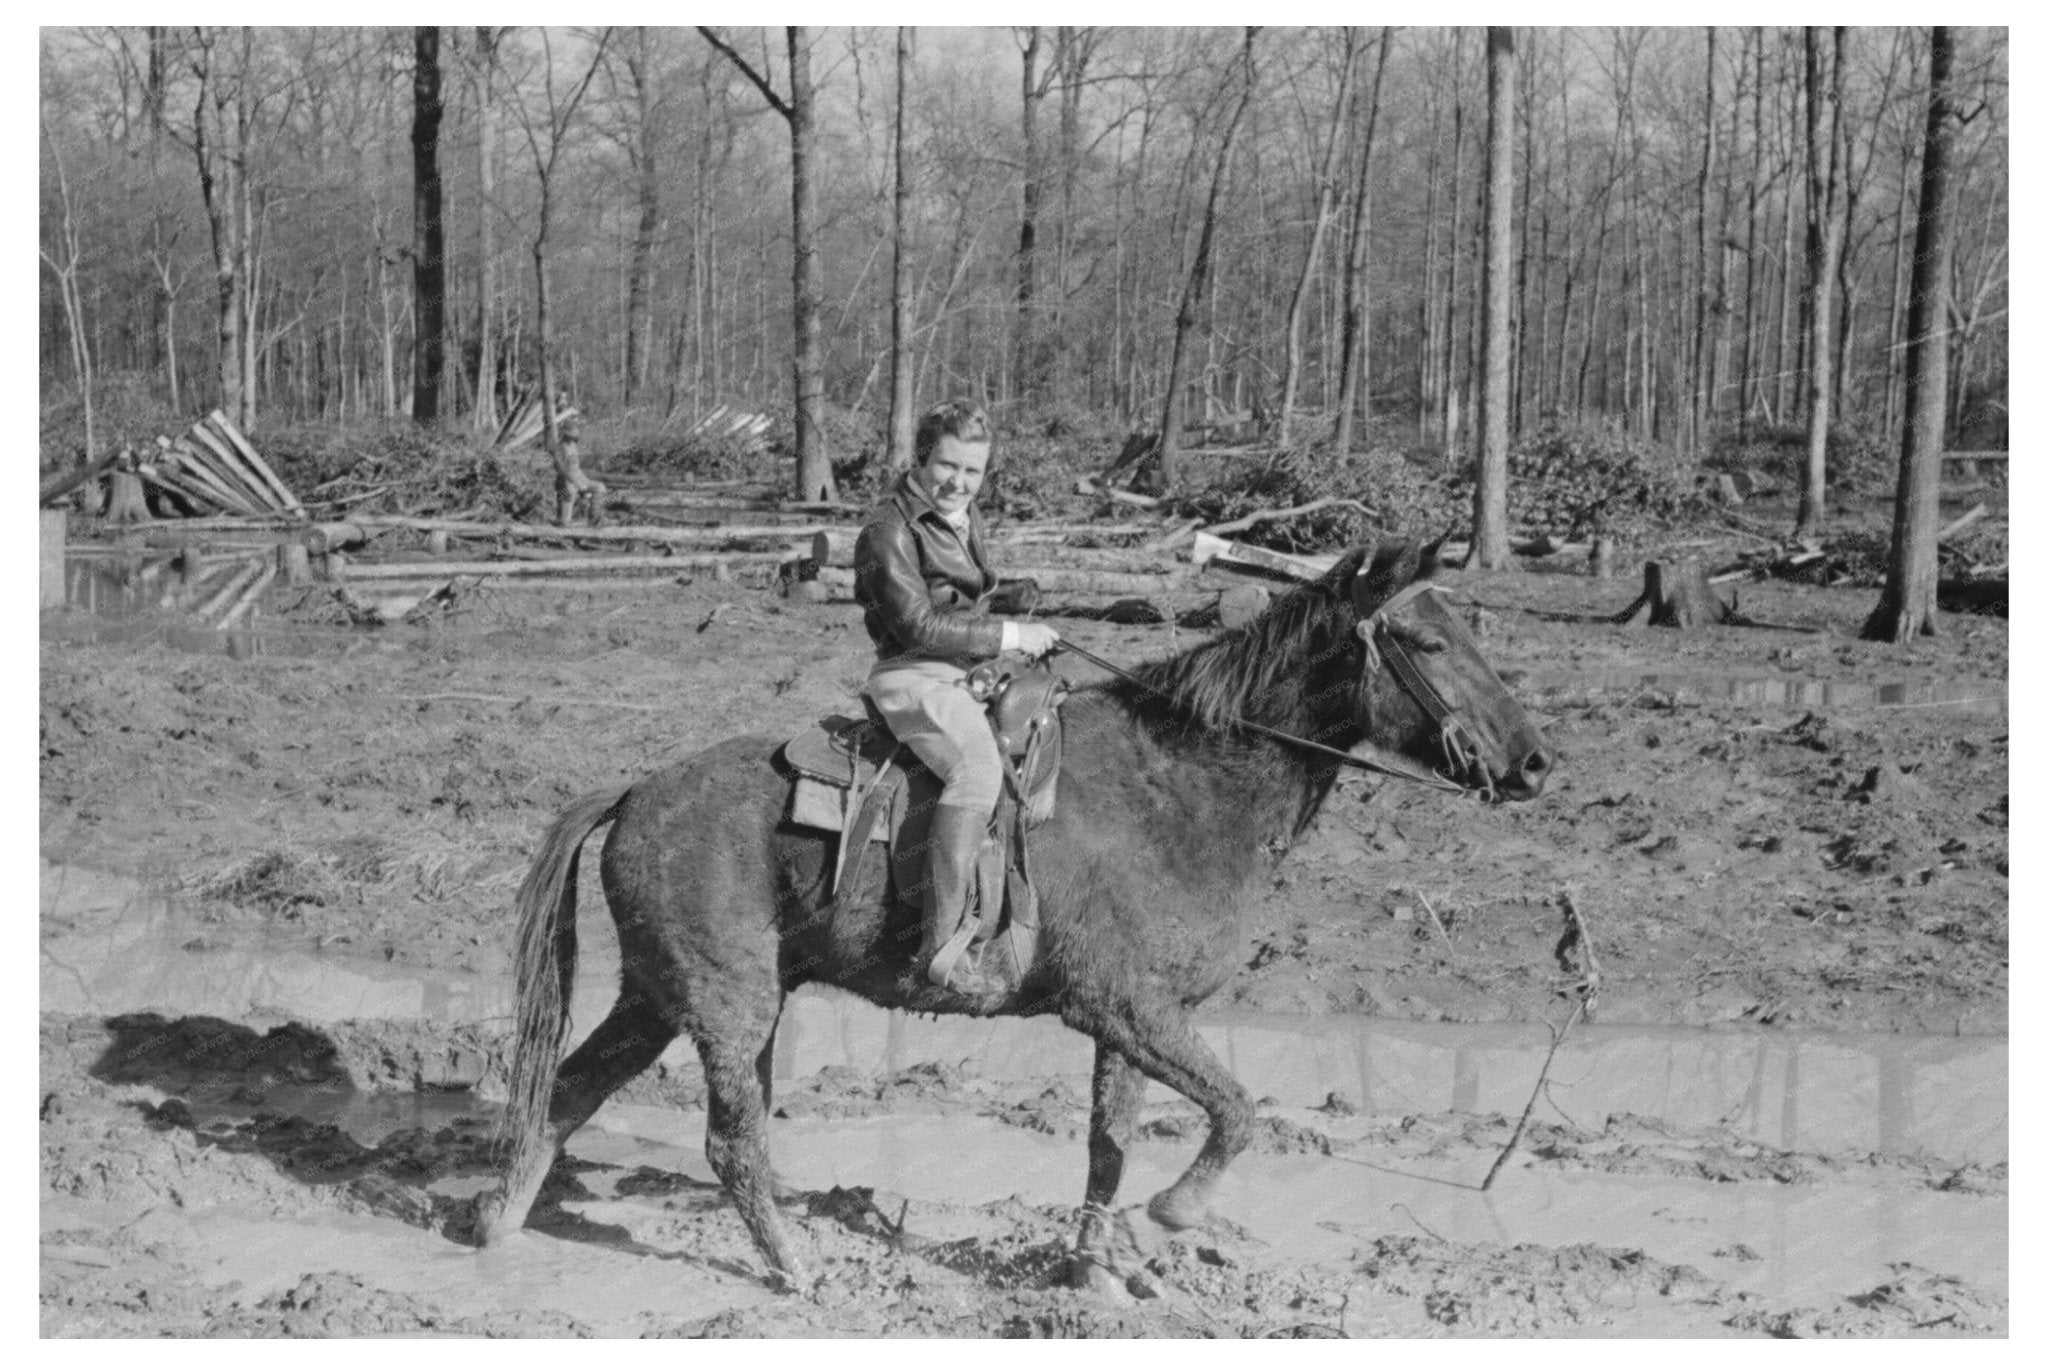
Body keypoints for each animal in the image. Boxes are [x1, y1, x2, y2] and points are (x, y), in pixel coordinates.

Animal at [475, 532, 1548, 1293]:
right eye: (1427, 640)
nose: (1535, 763)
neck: (1184, 781)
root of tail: (633, 791)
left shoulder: (1133, 1022)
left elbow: (1110, 1144)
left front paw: (1100, 1270)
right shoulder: (1122, 1007)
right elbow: (1237, 1113)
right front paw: (1168, 1220)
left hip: (656, 998)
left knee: (564, 1094)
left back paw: (494, 1226)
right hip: (727, 1004)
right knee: (730, 1140)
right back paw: (796, 1269)